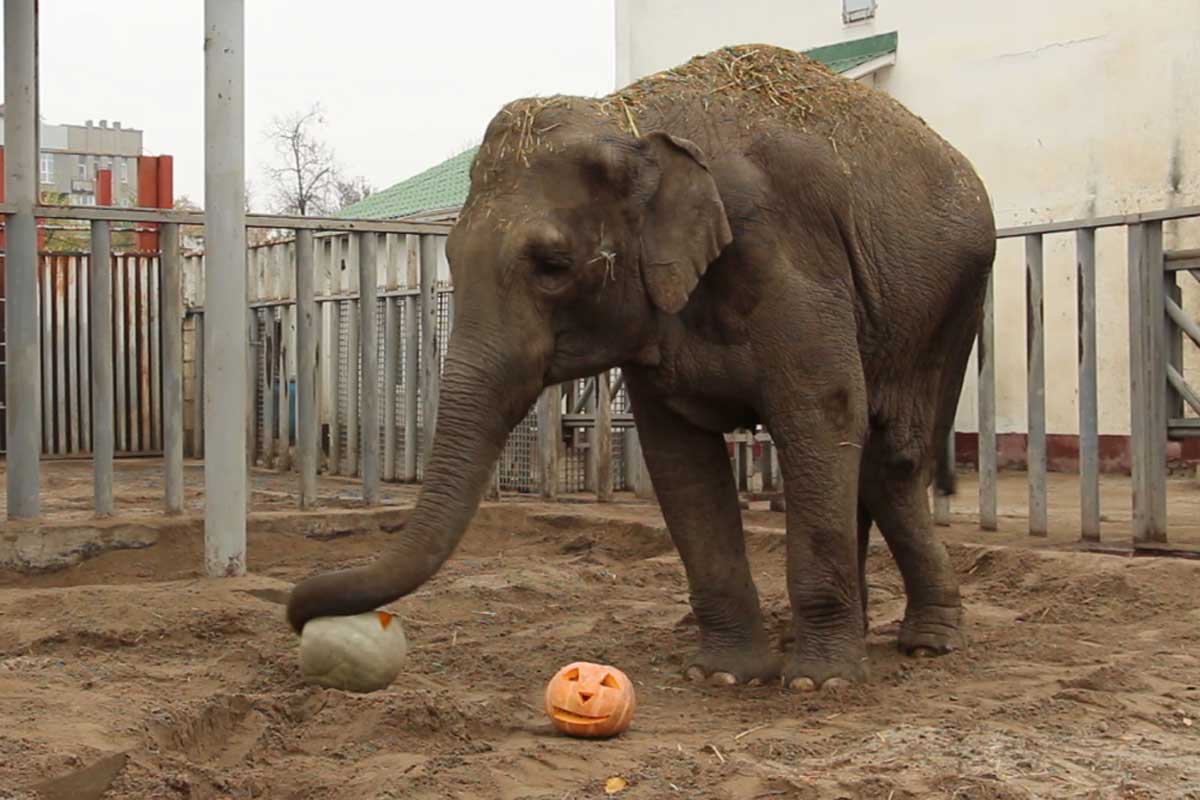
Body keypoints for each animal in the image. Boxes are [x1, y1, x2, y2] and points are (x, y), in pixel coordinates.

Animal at [288, 45, 993, 695]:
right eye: (452, 260)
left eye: (552, 265)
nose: (299, 614)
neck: (629, 120)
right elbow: (680, 459)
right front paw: (724, 675)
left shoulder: (787, 256)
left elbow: (822, 418)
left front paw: (818, 686)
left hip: (953, 301)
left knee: (891, 457)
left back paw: (927, 643)